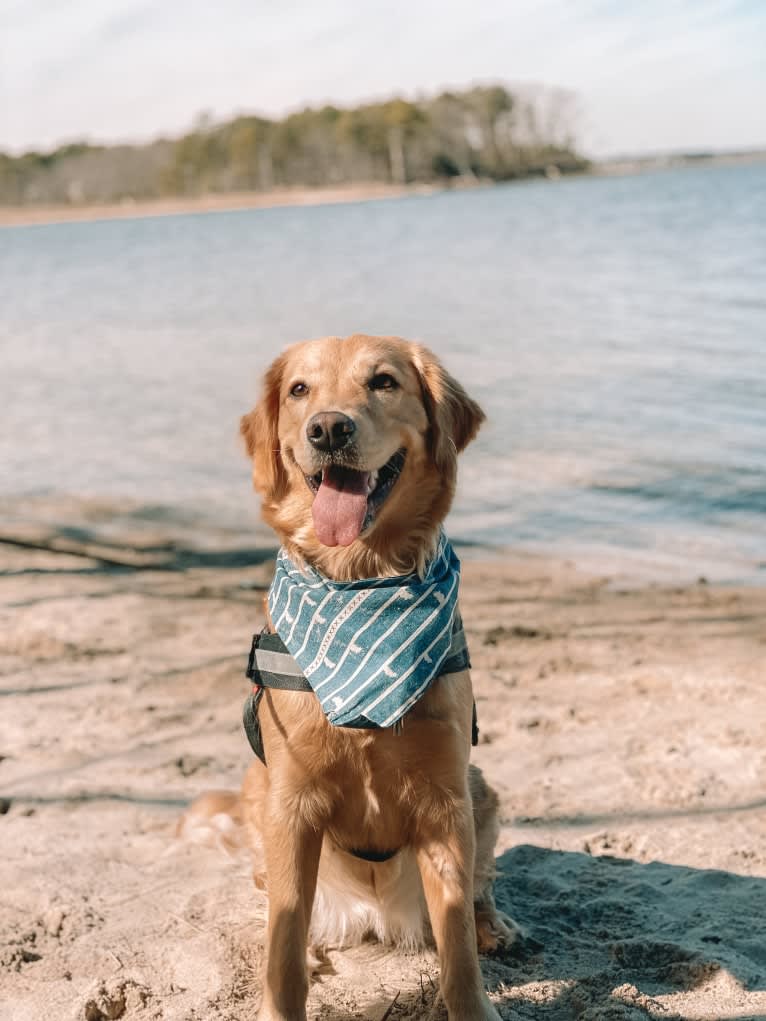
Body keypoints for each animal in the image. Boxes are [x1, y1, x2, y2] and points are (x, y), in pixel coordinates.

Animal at [184, 336, 516, 1021]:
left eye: (383, 382)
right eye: (299, 390)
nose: (329, 429)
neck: (360, 583)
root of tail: (374, 914)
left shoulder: (446, 800)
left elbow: (458, 948)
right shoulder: (291, 804)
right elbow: (283, 940)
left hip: (481, 789)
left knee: (479, 891)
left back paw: (493, 924)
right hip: (258, 790)